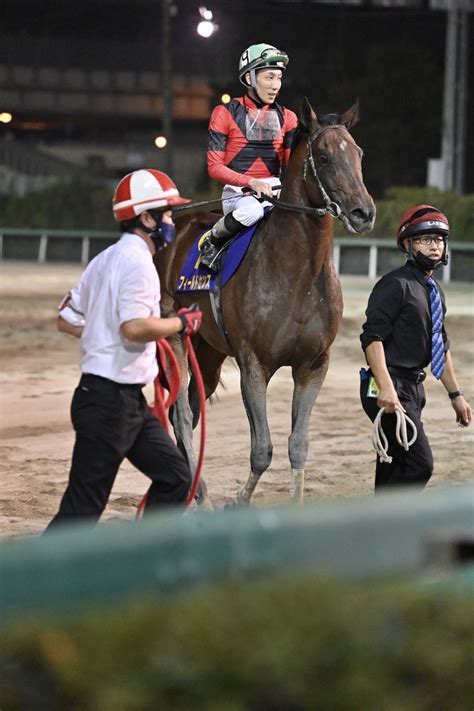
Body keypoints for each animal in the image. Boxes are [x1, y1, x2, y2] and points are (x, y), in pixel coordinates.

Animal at [157, 97, 376, 508]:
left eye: (358, 153)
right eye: (324, 157)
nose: (364, 213)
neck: (299, 275)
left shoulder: (314, 365)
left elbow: (298, 445)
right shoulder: (253, 366)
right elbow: (262, 449)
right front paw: (237, 500)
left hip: (208, 352)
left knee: (192, 408)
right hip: (175, 336)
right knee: (180, 414)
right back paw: (201, 494)